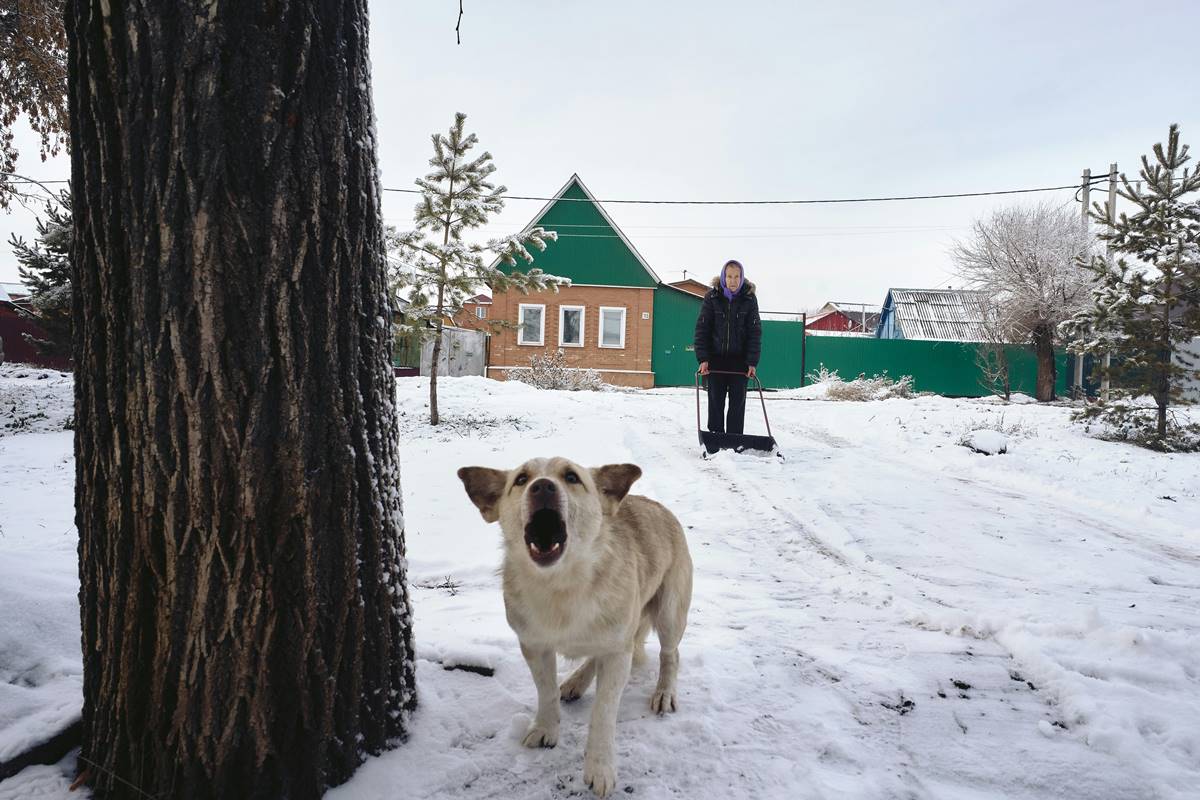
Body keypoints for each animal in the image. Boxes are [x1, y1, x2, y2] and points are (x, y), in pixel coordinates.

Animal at [456, 460, 696, 796]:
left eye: (571, 476)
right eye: (521, 479)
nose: (542, 486)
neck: (562, 586)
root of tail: (657, 505)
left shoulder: (617, 652)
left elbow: (604, 711)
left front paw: (600, 767)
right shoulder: (534, 645)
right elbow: (545, 692)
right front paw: (545, 728)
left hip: (669, 612)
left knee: (670, 654)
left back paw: (664, 692)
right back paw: (575, 682)